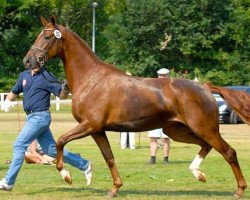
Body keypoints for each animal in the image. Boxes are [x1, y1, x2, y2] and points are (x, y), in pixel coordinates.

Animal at [23, 16, 246, 198]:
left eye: (47, 37)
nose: (28, 61)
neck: (92, 79)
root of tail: (205, 87)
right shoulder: (98, 130)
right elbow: (109, 158)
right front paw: (114, 188)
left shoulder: (89, 125)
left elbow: (60, 141)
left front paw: (67, 175)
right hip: (176, 130)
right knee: (206, 146)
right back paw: (198, 174)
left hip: (204, 128)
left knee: (229, 152)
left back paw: (239, 190)